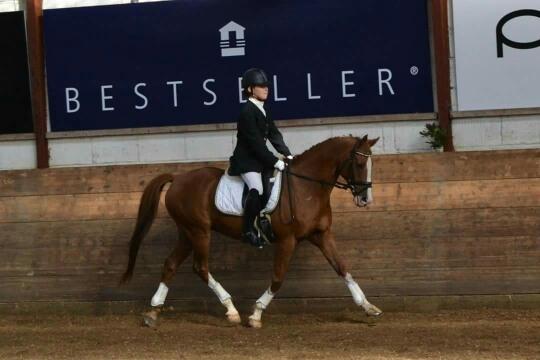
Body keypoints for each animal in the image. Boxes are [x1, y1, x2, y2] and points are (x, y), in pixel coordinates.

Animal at [121, 134, 384, 328]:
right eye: (360, 163)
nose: (366, 199)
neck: (306, 186)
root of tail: (177, 179)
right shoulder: (288, 240)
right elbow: (278, 278)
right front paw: (256, 314)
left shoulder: (321, 235)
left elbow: (343, 268)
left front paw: (368, 306)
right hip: (199, 231)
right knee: (200, 267)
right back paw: (231, 310)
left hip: (187, 232)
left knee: (171, 264)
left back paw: (153, 311)